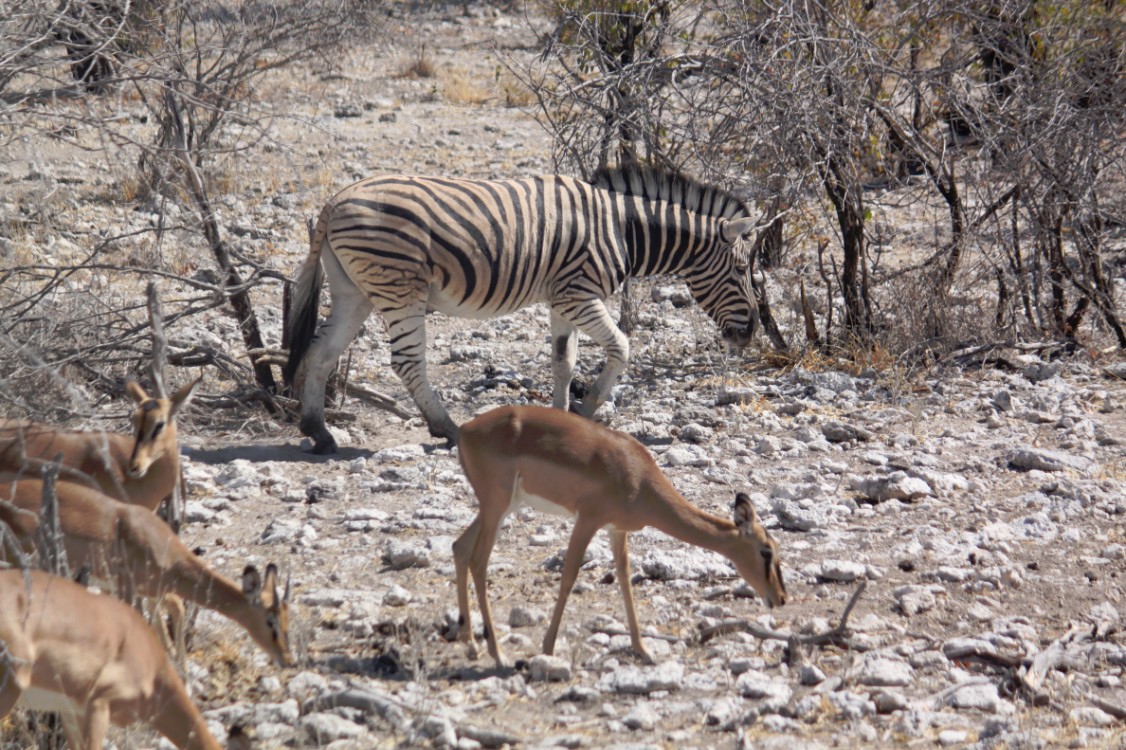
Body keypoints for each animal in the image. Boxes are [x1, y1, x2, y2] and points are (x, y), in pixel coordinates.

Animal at [283, 166, 756, 452]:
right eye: (742, 269)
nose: (749, 333)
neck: (625, 230)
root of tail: (334, 201)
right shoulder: (580, 294)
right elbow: (621, 348)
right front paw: (587, 411)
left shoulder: (564, 298)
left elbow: (563, 361)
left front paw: (563, 418)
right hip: (400, 287)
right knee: (407, 362)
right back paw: (448, 429)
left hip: (354, 291)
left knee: (321, 352)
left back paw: (318, 432)